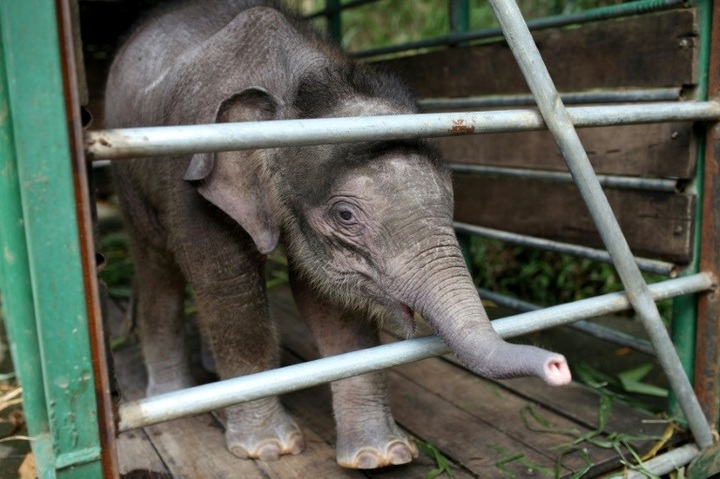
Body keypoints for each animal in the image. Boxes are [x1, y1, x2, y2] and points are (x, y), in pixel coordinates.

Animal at [104, 0, 571, 469]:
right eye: (346, 215)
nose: (558, 366)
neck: (293, 86)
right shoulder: (192, 181)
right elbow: (229, 288)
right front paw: (269, 448)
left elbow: (333, 304)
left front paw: (381, 457)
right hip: (130, 180)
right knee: (157, 266)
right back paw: (175, 395)